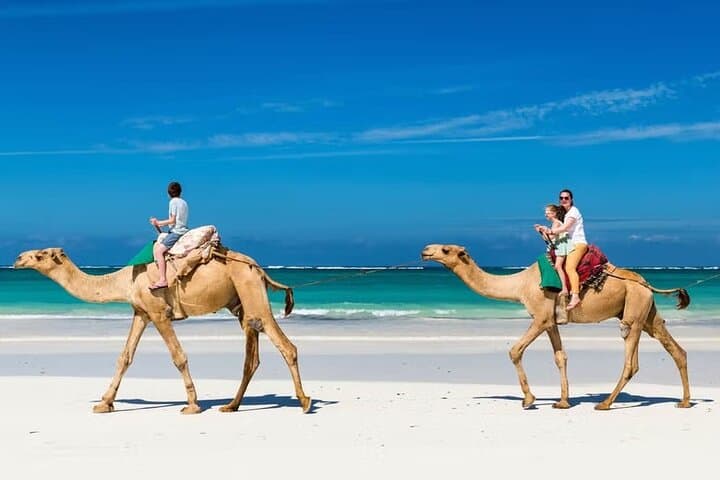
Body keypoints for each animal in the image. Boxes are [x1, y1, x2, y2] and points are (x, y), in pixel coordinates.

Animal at [13, 247, 311, 414]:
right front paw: (104, 403)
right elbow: (125, 357)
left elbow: (178, 356)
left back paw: (305, 402)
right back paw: (231, 406)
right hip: (241, 302)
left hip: (251, 290)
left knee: (286, 346)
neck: (125, 280)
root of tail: (258, 268)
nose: (17, 259)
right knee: (252, 356)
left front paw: (192, 405)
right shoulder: (141, 313)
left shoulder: (158, 313)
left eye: (39, 255)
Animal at [421, 244, 691, 410]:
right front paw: (563, 402)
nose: (425, 251)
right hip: (647, 312)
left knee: (631, 362)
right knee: (675, 349)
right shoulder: (551, 321)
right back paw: (685, 402)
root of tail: (646, 283)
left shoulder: (540, 317)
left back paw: (605, 403)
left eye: (446, 249)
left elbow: (515, 351)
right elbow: (560, 357)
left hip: (633, 313)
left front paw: (529, 400)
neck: (519, 285)